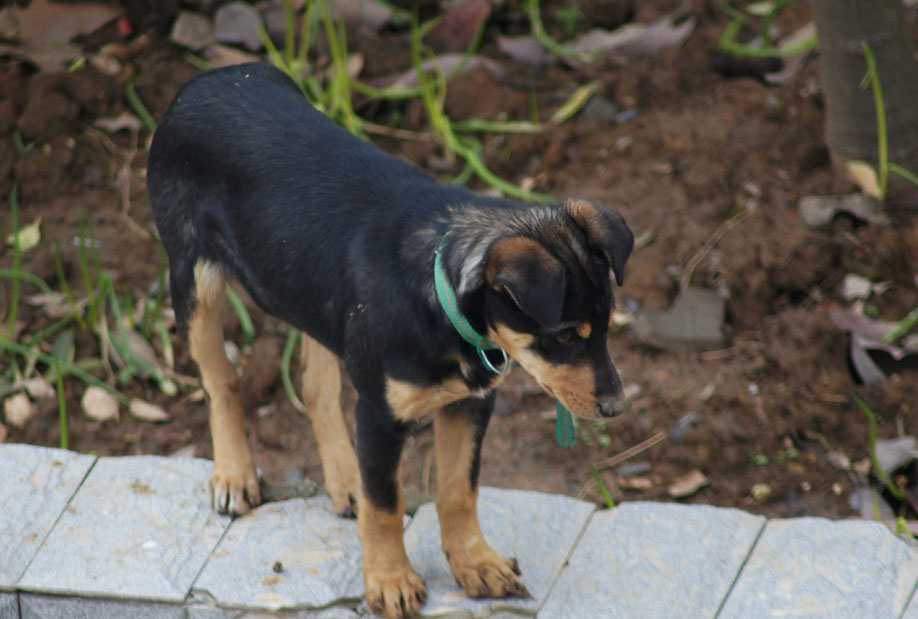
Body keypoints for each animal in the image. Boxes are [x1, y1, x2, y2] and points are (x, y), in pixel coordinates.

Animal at [147, 61, 636, 616]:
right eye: (564, 336)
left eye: (606, 326)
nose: (617, 408)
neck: (441, 291)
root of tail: (204, 80)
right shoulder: (381, 414)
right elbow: (386, 504)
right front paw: (390, 580)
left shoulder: (472, 402)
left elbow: (458, 490)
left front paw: (476, 564)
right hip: (193, 274)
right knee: (219, 378)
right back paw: (234, 475)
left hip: (308, 290)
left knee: (315, 386)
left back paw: (345, 480)